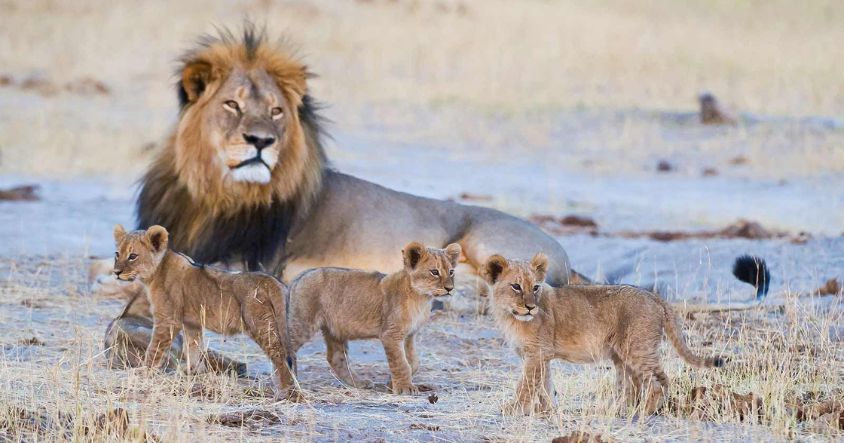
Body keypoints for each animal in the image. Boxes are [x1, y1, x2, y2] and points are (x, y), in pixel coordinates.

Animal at [112, 224, 299, 399]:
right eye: (117, 254)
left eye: (133, 256)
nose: (116, 272)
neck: (155, 272)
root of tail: (270, 280)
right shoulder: (191, 323)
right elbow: (194, 347)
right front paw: (192, 372)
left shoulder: (167, 320)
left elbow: (154, 349)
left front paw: (144, 371)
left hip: (260, 325)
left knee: (279, 356)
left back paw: (287, 392)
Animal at [286, 242, 461, 394]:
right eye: (434, 272)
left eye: (451, 272)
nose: (450, 288)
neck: (421, 298)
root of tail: (300, 277)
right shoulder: (391, 334)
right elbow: (401, 363)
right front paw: (405, 388)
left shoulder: (409, 335)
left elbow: (413, 362)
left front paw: (391, 384)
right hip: (304, 322)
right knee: (286, 346)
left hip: (334, 330)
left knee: (336, 358)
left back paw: (359, 383)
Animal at [481, 254, 725, 416]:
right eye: (515, 286)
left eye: (535, 287)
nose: (531, 307)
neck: (510, 316)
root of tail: (654, 296)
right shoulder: (541, 356)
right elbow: (544, 385)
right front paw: (547, 410)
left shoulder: (537, 354)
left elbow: (525, 385)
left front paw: (512, 409)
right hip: (623, 355)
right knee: (635, 385)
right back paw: (620, 410)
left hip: (637, 348)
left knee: (657, 381)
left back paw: (644, 412)